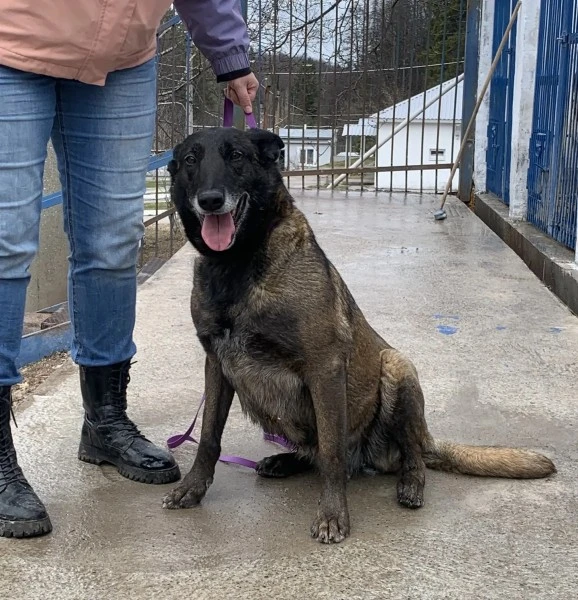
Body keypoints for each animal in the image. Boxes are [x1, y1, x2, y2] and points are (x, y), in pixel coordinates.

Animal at [162, 126, 556, 544]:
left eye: (236, 155)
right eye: (190, 160)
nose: (210, 200)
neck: (236, 265)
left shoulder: (325, 369)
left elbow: (333, 452)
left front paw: (333, 514)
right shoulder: (217, 366)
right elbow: (208, 437)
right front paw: (193, 488)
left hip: (398, 365)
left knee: (408, 454)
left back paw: (411, 484)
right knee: (317, 452)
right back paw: (286, 460)